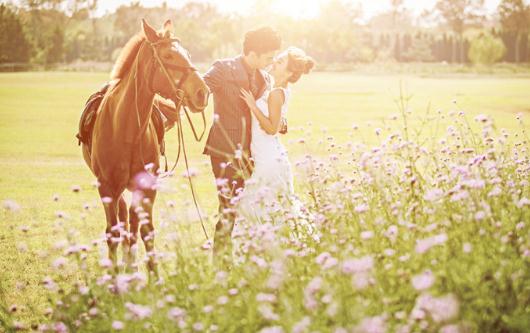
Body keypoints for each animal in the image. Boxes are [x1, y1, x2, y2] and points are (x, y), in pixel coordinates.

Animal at [80, 18, 208, 272]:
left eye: (187, 54)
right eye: (168, 55)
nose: (202, 92)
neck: (125, 130)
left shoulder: (147, 187)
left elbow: (146, 231)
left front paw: (153, 276)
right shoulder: (106, 188)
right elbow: (112, 233)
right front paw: (114, 276)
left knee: (131, 223)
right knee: (123, 221)